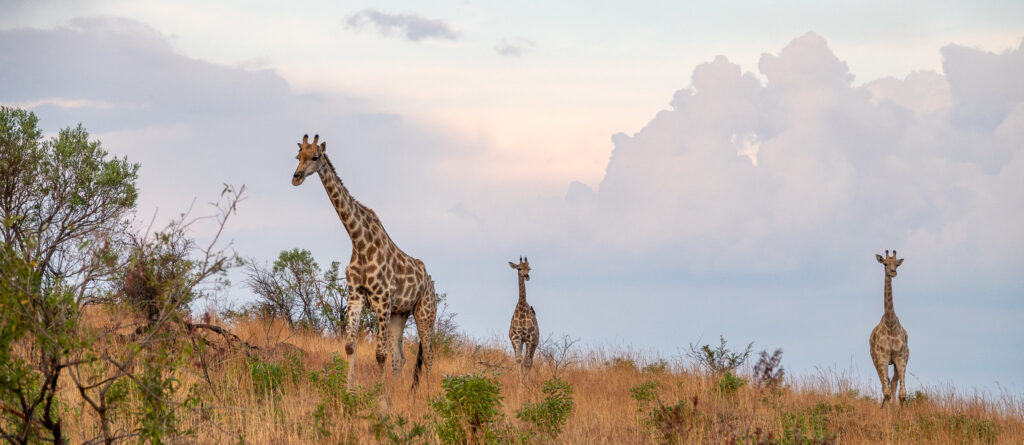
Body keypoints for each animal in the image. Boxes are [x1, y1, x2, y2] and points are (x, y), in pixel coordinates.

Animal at [291, 134, 436, 392]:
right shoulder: (355, 296)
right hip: (400, 314)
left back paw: (428, 398)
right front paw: (351, 392)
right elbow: (350, 346)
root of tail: (431, 282)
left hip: (425, 313)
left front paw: (377, 399)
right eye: (298, 156)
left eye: (315, 157)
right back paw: (392, 395)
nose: (296, 177)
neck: (359, 242)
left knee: (428, 356)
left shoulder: (382, 300)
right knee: (400, 358)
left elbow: (379, 355)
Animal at [869, 249, 909, 407]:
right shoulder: (882, 356)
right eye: (885, 264)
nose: (893, 272)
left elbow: (902, 394)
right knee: (884, 385)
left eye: (896, 264)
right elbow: (886, 392)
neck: (890, 323)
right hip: (876, 360)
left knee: (892, 383)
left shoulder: (901, 356)